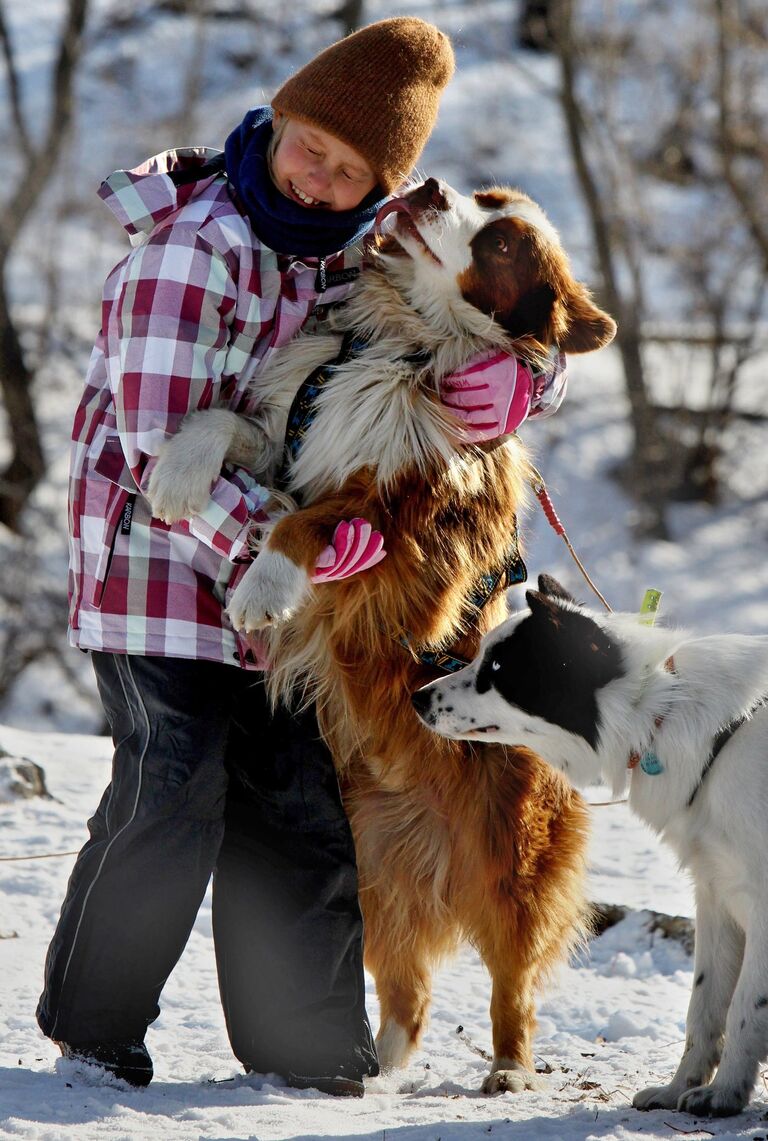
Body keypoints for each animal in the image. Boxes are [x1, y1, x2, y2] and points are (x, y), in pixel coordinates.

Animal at [148, 180, 616, 1095]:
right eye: (483, 195)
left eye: (502, 243)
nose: (429, 187)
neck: (403, 343)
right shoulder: (299, 430)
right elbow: (230, 422)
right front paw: (180, 470)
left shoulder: (406, 530)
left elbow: (307, 521)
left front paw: (264, 586)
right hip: (373, 869)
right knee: (410, 986)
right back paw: (380, 1063)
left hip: (509, 854)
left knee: (513, 977)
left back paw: (508, 1069)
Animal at [413, 575, 766, 1118]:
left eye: (497, 669)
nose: (417, 698)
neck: (659, 711)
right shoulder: (717, 896)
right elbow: (705, 1007)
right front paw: (679, 1089)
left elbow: (746, 1007)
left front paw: (725, 1094)